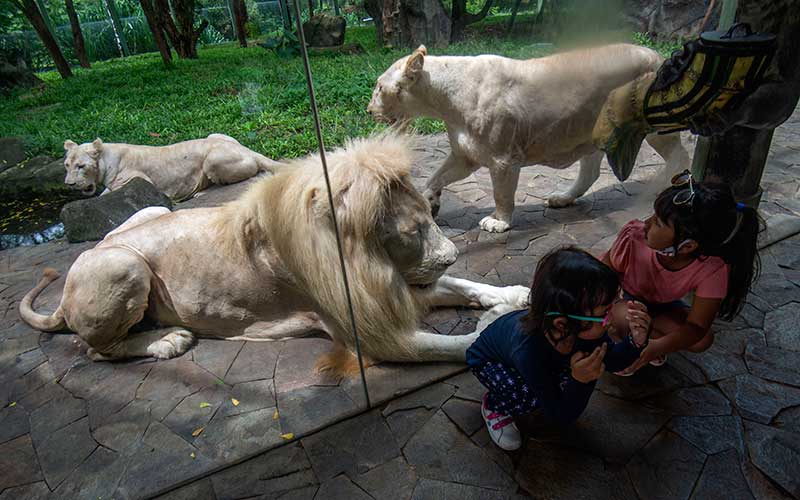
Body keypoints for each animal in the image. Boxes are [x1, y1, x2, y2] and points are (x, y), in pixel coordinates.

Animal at [65, 135, 284, 203]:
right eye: (67, 165)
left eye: (81, 166)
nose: (69, 184)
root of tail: (246, 149)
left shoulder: (137, 181)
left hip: (211, 160)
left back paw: (197, 194)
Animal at [366, 44, 692, 231]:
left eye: (379, 88)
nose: (369, 111)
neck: (442, 100)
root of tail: (658, 55)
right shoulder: (465, 155)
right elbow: (436, 176)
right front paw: (429, 201)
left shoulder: (503, 160)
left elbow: (501, 193)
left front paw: (499, 222)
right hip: (592, 134)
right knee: (590, 172)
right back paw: (563, 198)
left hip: (655, 127)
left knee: (680, 156)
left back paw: (659, 187)